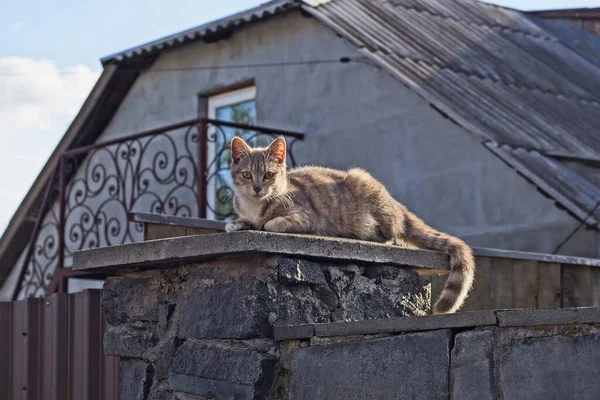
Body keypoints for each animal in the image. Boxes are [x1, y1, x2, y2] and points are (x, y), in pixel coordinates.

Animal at [224, 136, 474, 314]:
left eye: (268, 175)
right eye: (247, 175)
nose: (257, 188)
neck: (256, 205)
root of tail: (396, 204)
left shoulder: (306, 217)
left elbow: (271, 223)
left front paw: (263, 224)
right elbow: (241, 221)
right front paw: (235, 224)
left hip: (363, 183)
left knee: (391, 235)